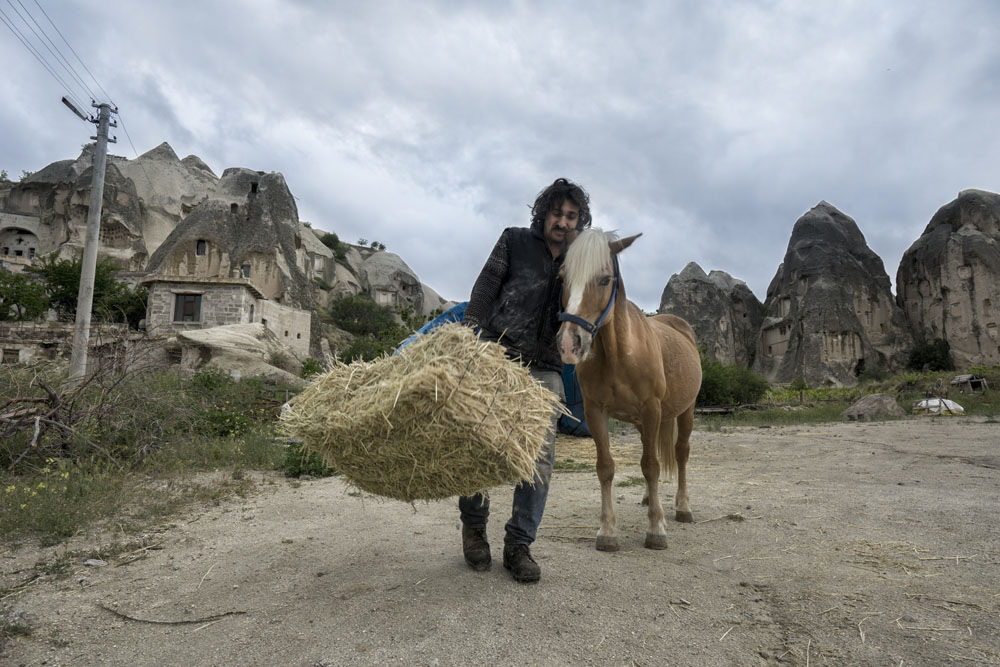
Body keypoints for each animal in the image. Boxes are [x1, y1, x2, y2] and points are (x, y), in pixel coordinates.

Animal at [556, 230, 704, 552]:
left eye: (604, 279)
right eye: (562, 277)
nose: (569, 343)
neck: (620, 355)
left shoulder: (651, 408)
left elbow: (651, 465)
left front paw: (656, 529)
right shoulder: (595, 412)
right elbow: (606, 467)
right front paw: (607, 532)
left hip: (685, 411)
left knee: (680, 453)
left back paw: (683, 507)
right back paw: (650, 498)